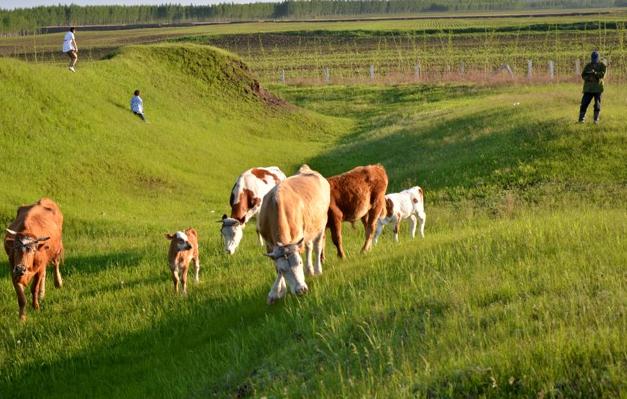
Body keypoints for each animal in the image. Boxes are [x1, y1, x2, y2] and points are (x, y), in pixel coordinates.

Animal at [258, 164, 332, 304]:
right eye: (283, 269)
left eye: (299, 263)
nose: (301, 290)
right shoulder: (269, 245)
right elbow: (276, 267)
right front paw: (277, 292)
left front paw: (276, 292)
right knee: (309, 246)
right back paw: (309, 270)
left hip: (321, 224)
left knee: (316, 247)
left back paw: (317, 269)